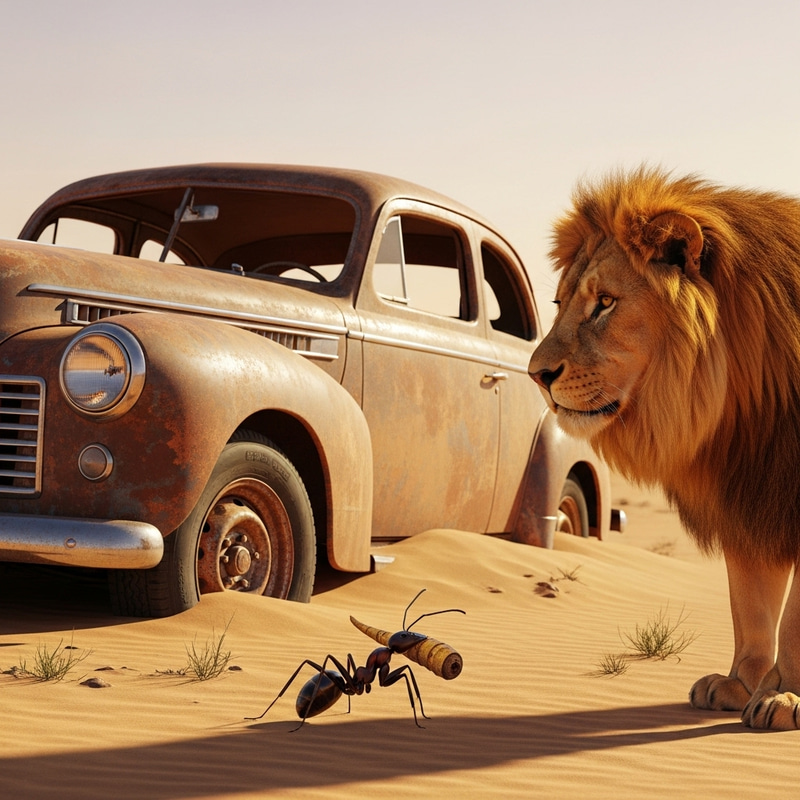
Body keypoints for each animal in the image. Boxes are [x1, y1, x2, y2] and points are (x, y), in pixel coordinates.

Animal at [528, 166, 800, 730]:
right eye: (560, 303)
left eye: (605, 302)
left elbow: (793, 620)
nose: (536, 375)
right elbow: (749, 602)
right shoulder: (748, 489)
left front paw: (784, 697)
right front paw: (741, 685)